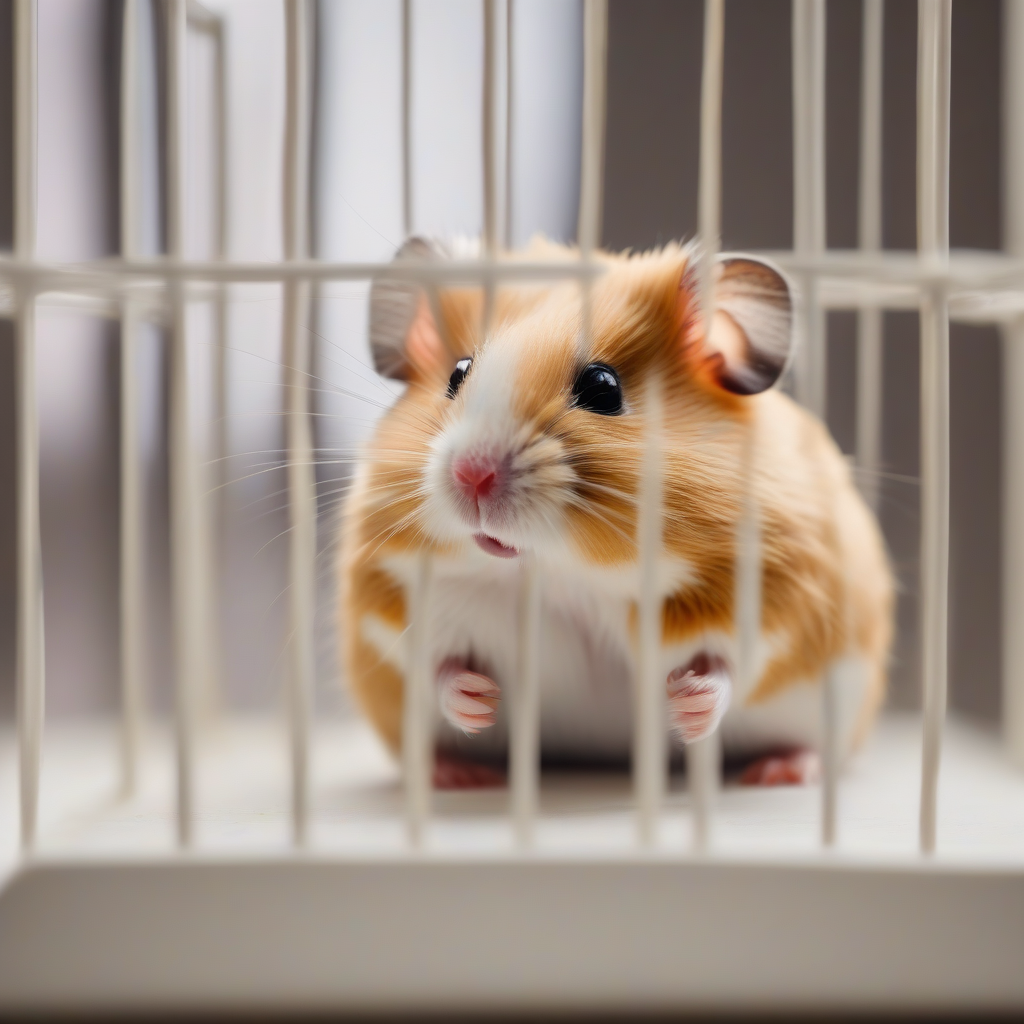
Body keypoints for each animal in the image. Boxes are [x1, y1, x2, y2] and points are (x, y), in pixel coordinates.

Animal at [340, 237, 894, 788]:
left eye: (603, 388)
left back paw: (781, 770)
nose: (471, 474)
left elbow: (729, 669)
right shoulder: (398, 601)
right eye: (457, 375)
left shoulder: (777, 603)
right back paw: (458, 773)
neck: (566, 576)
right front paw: (481, 701)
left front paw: (684, 706)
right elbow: (435, 665)